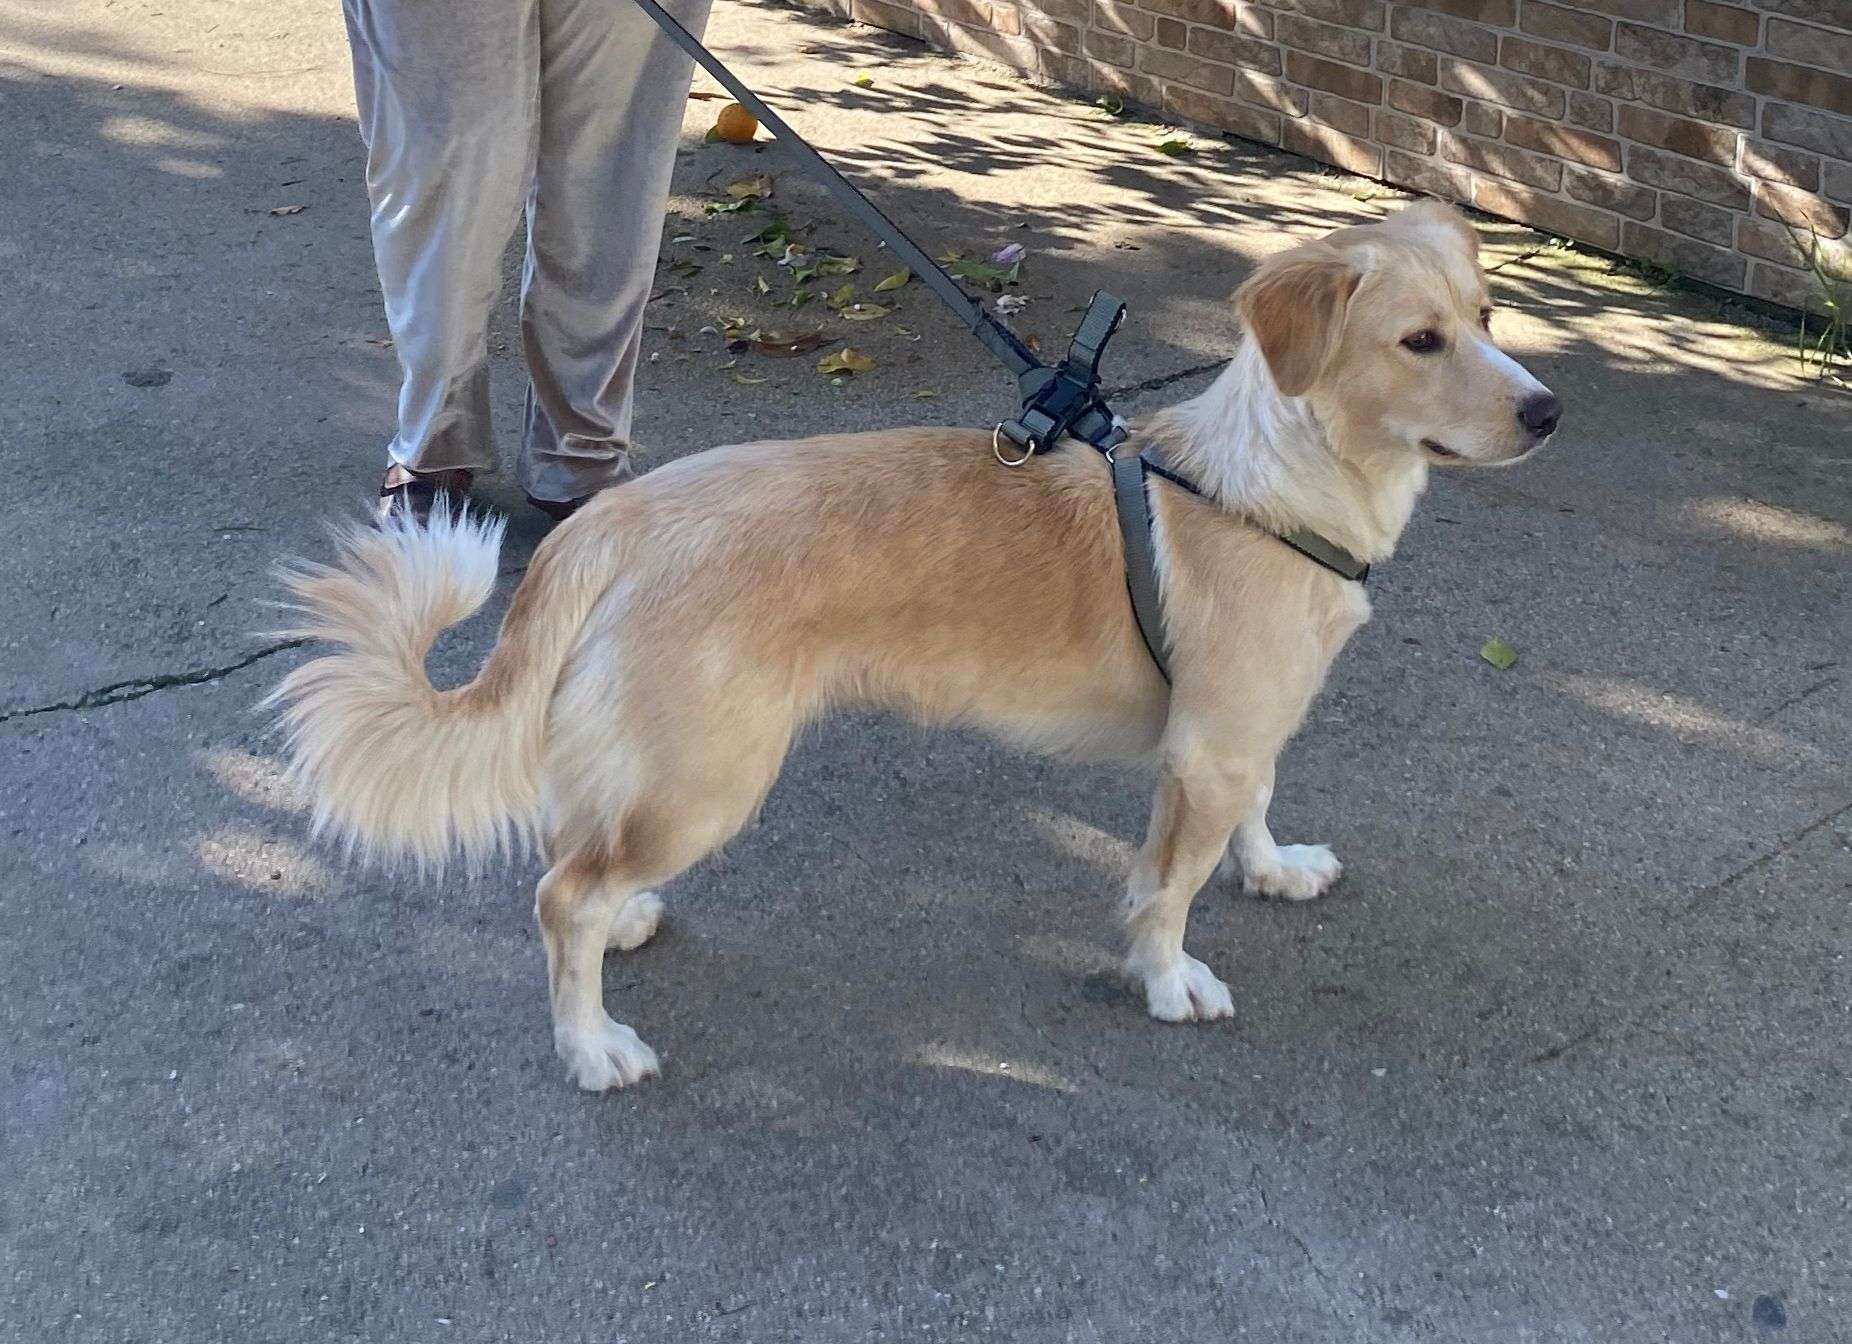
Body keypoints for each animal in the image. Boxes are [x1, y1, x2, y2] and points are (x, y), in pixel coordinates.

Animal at [267, 202, 1559, 1091]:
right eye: (1420, 340)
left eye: (1489, 319)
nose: (1549, 412)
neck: (1266, 482)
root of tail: (617, 518)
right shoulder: (1207, 752)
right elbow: (1168, 888)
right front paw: (1166, 978)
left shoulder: (1239, 737)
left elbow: (1249, 820)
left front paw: (1274, 867)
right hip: (710, 778)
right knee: (560, 898)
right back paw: (591, 1045)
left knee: (579, 856)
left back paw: (622, 926)